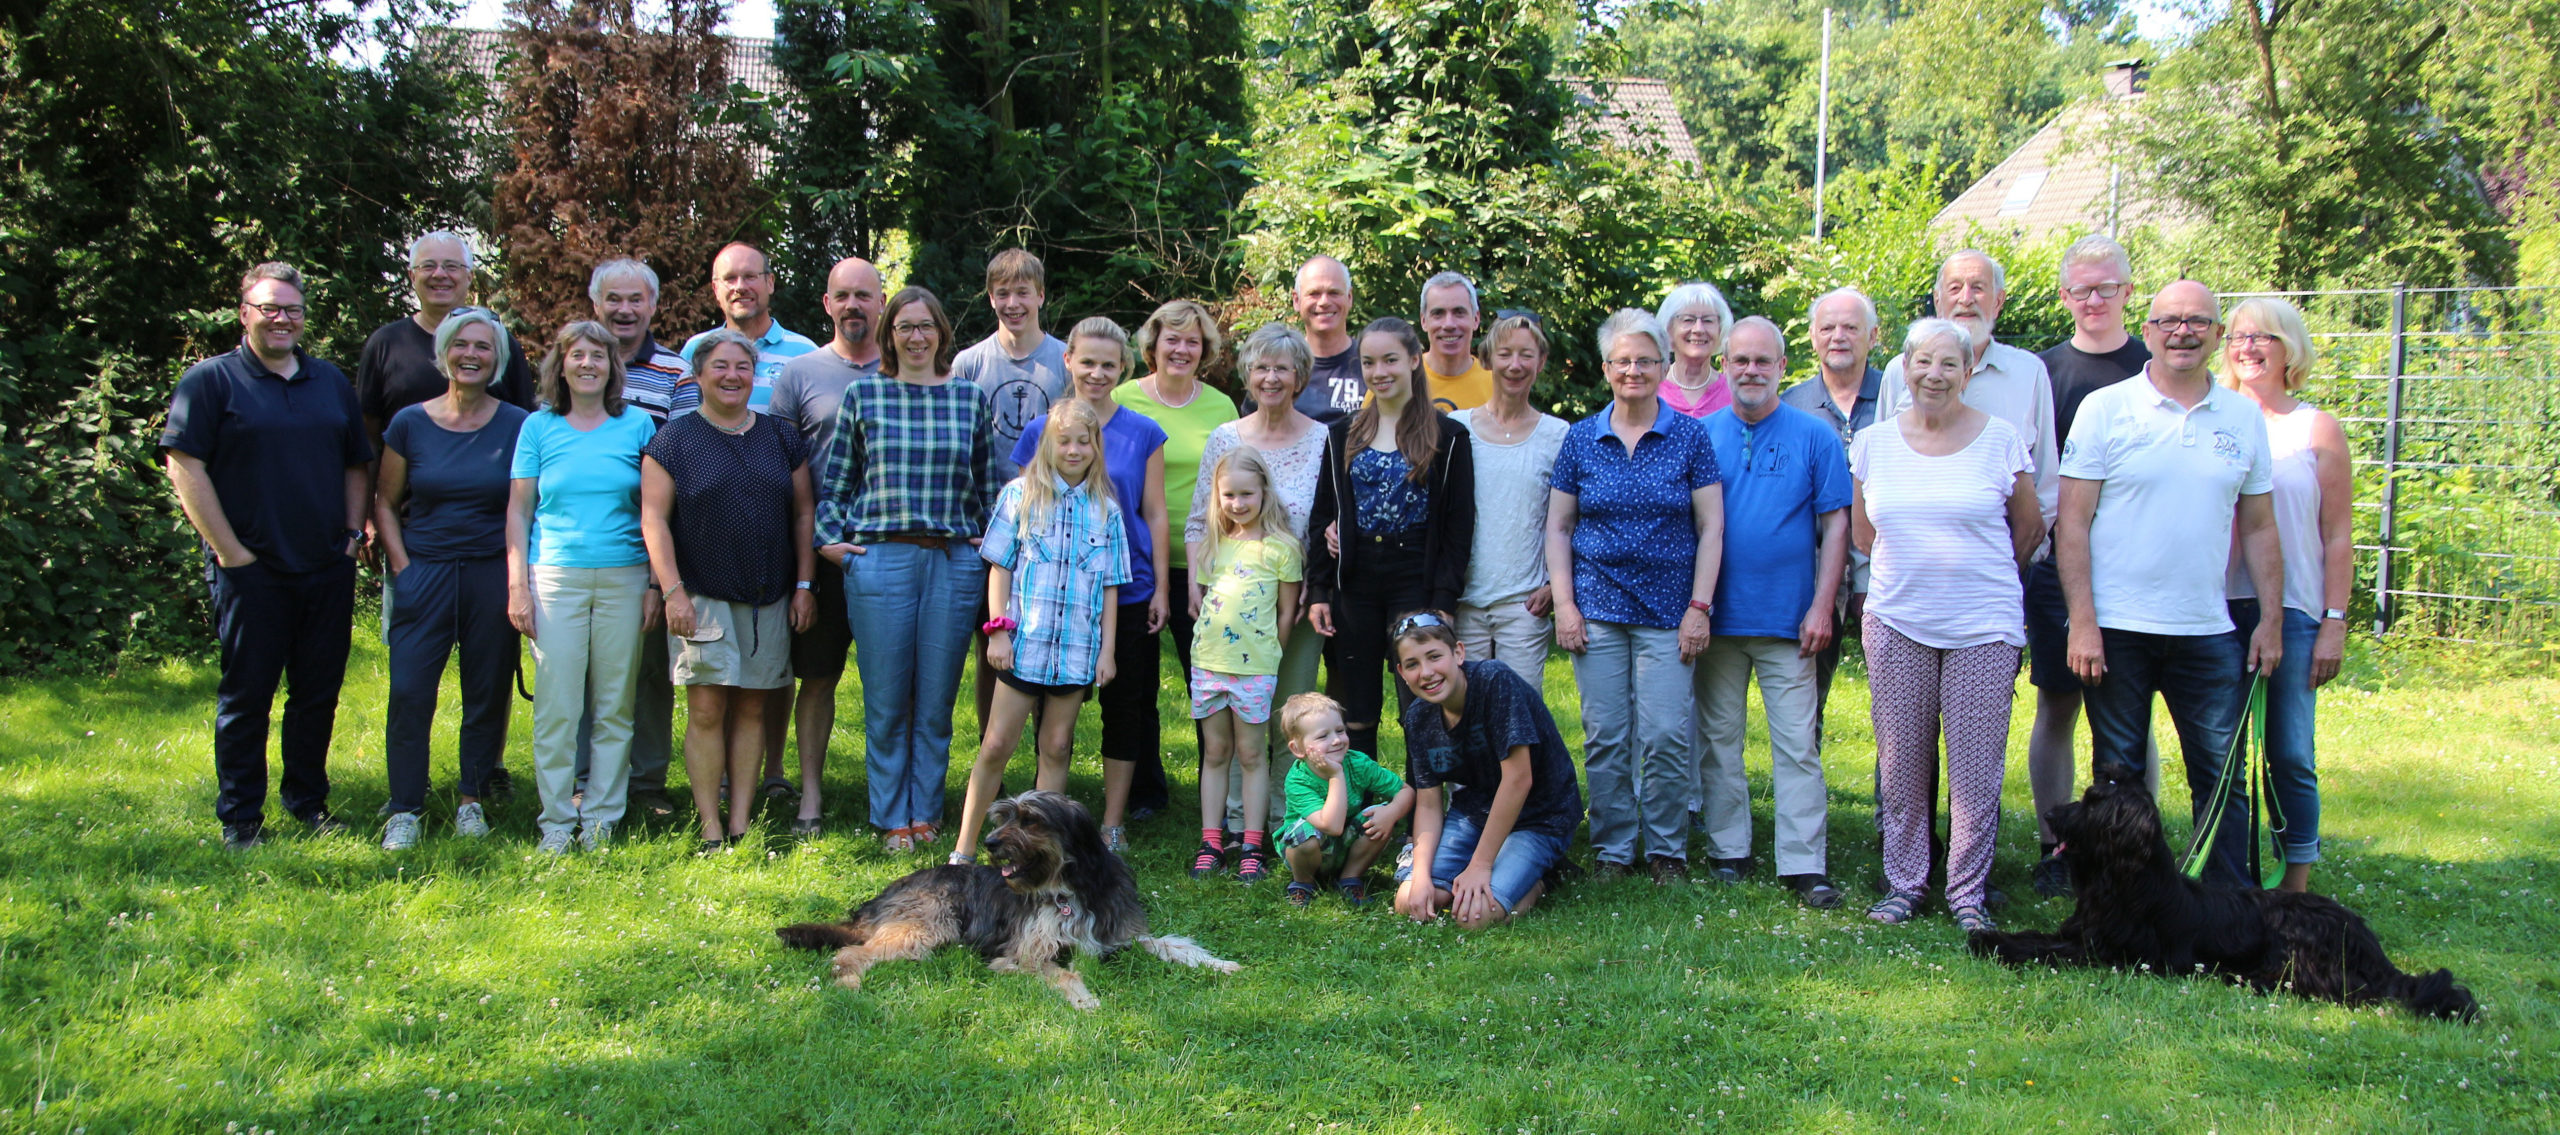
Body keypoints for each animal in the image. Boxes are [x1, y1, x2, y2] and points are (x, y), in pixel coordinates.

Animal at [773, 794, 1233, 1009]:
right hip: (927, 926)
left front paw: (1219, 964)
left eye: (1030, 820)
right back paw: (848, 984)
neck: (1065, 890)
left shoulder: (1117, 934)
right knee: (851, 952)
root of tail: (883, 895)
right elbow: (1066, 974)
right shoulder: (1027, 954)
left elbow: (1171, 944)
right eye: (1003, 817)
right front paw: (1085, 999)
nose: (991, 843)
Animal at [1955, 768, 2478, 1024]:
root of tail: (2368, 943)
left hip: (2296, 945)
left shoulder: (2107, 952)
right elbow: (2038, 935)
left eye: (2089, 804)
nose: (2052, 814)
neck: (2128, 882)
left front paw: (1991, 942)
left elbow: (2047, 949)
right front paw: (1994, 936)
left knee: (2336, 989)